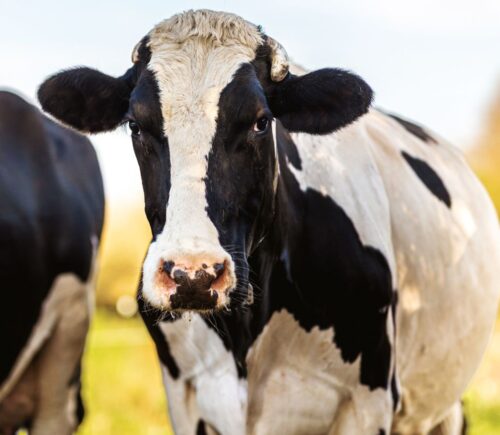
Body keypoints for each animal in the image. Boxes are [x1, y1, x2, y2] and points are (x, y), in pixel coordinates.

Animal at [36, 10, 500, 435]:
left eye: (261, 121)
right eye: (135, 124)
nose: (192, 274)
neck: (245, 332)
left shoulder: (369, 401)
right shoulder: (186, 397)